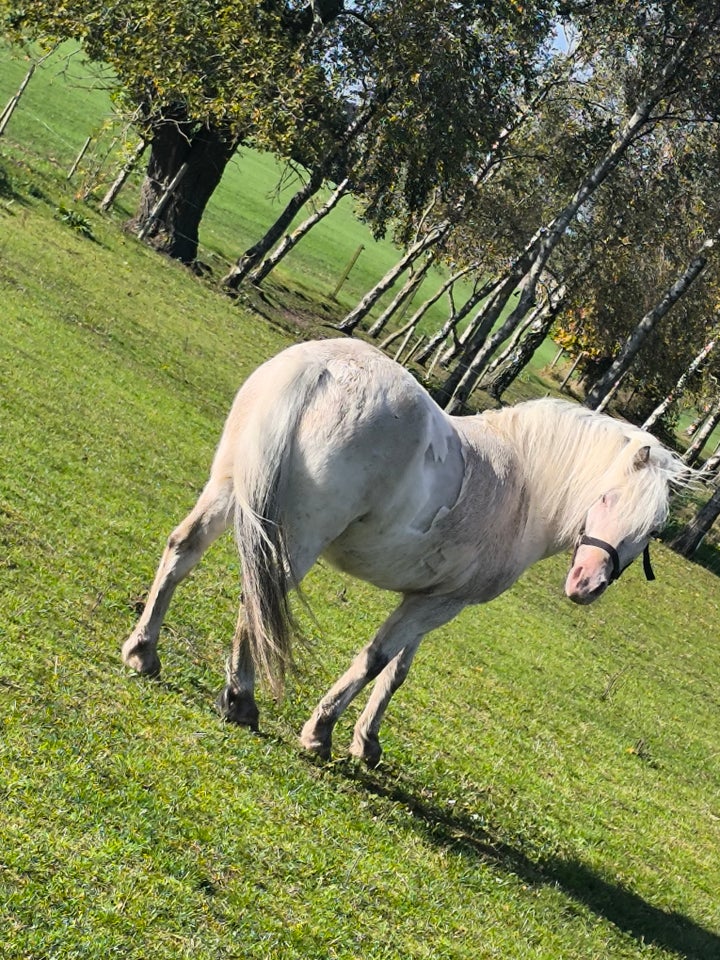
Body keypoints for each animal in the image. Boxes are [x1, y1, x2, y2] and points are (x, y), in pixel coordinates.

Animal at [122, 338, 692, 764]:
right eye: (607, 497)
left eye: (650, 528)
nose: (587, 584)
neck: (523, 485)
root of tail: (318, 369)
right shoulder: (443, 604)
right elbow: (375, 659)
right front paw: (320, 733)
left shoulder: (426, 598)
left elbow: (397, 671)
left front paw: (367, 742)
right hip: (292, 539)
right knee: (259, 600)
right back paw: (240, 700)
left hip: (227, 492)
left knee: (183, 551)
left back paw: (143, 653)